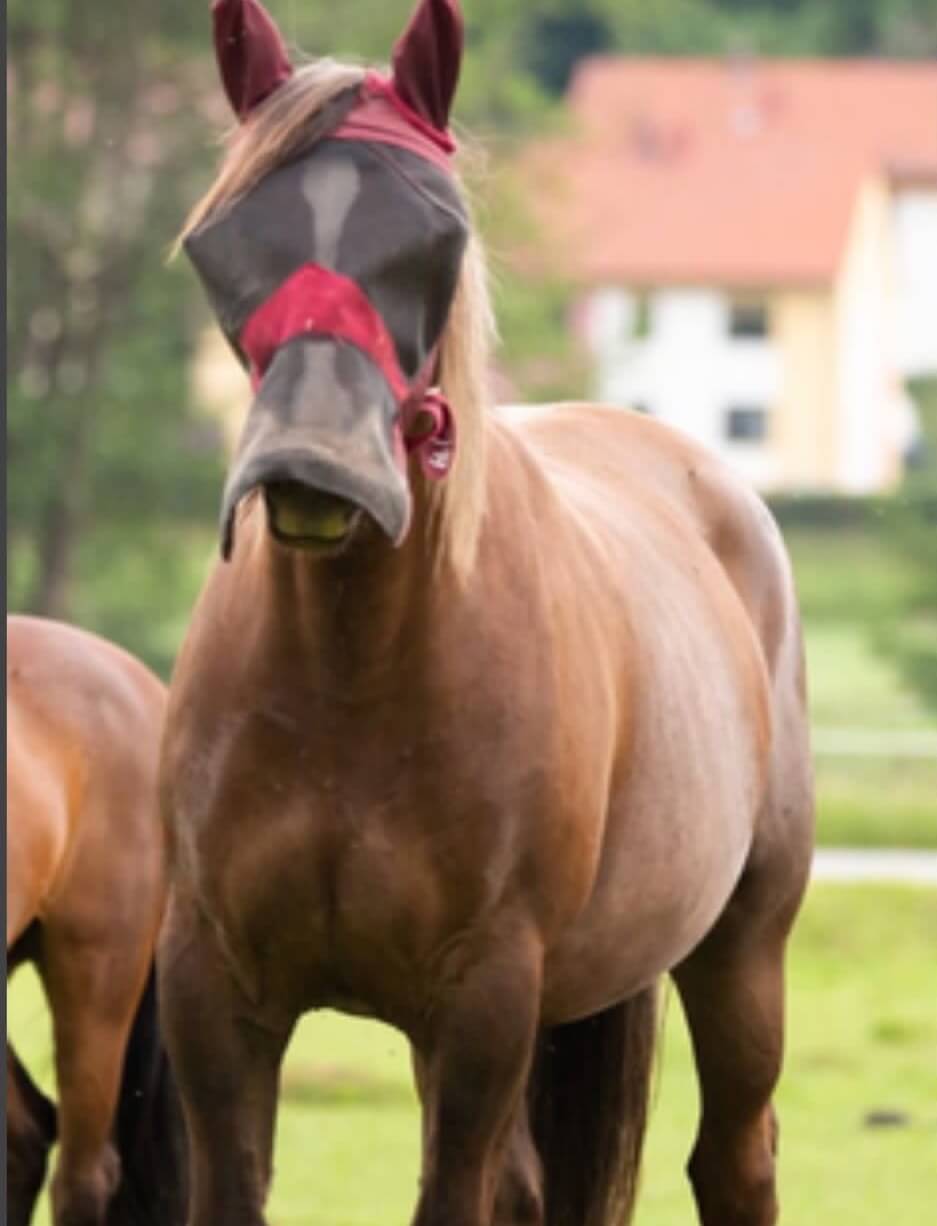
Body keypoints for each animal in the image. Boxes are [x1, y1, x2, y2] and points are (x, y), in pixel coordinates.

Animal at [158, 3, 814, 1224]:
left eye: (438, 233)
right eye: (222, 239)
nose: (313, 465)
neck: (351, 672)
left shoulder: (484, 1000)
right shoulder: (212, 991)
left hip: (741, 950)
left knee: (732, 1157)